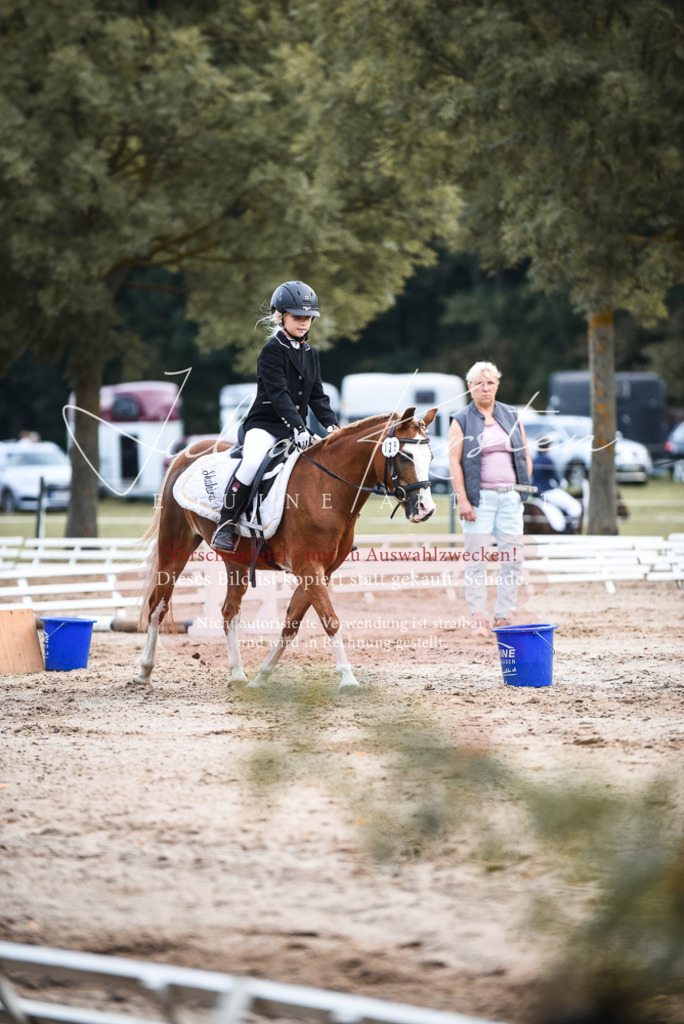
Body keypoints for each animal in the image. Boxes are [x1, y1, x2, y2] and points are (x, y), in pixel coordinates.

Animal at [134, 407, 437, 693]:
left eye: (430, 457)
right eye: (404, 456)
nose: (426, 509)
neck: (327, 488)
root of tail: (185, 454)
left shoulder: (319, 573)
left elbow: (291, 624)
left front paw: (261, 677)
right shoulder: (309, 570)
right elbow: (330, 620)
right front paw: (348, 680)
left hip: (236, 561)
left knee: (229, 612)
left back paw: (237, 675)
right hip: (175, 545)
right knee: (158, 604)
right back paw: (144, 672)